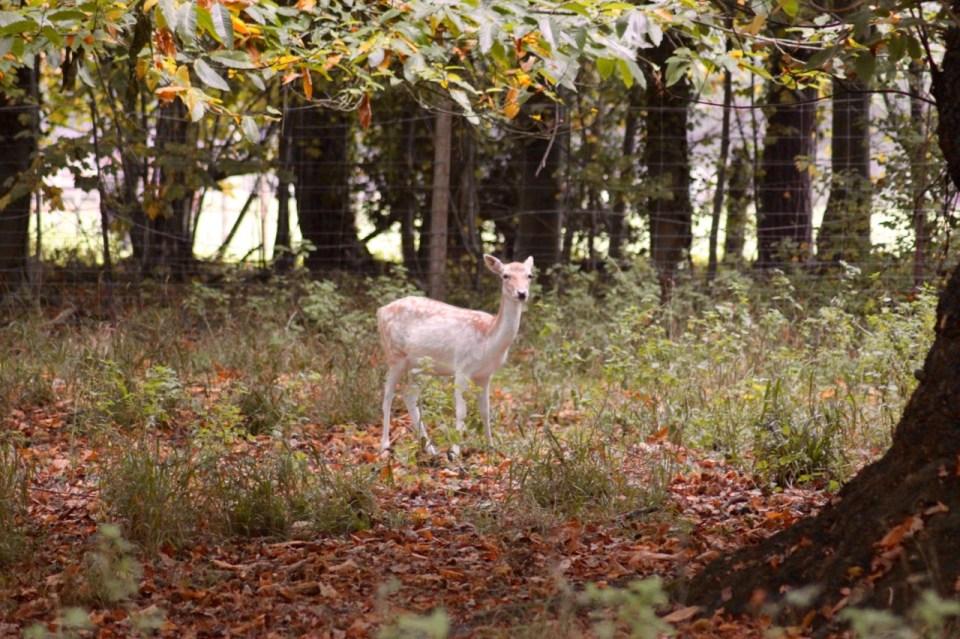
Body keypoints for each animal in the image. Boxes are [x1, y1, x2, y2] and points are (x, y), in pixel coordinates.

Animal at [377, 254, 534, 457]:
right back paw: (385, 446)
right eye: (505, 275)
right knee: (388, 394)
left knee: (408, 396)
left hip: (420, 366)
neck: (488, 339)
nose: (522, 293)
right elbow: (461, 411)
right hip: (394, 354)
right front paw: (455, 452)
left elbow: (485, 410)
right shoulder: (462, 367)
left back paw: (430, 448)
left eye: (529, 275)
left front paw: (491, 447)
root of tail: (381, 311)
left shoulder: (485, 375)